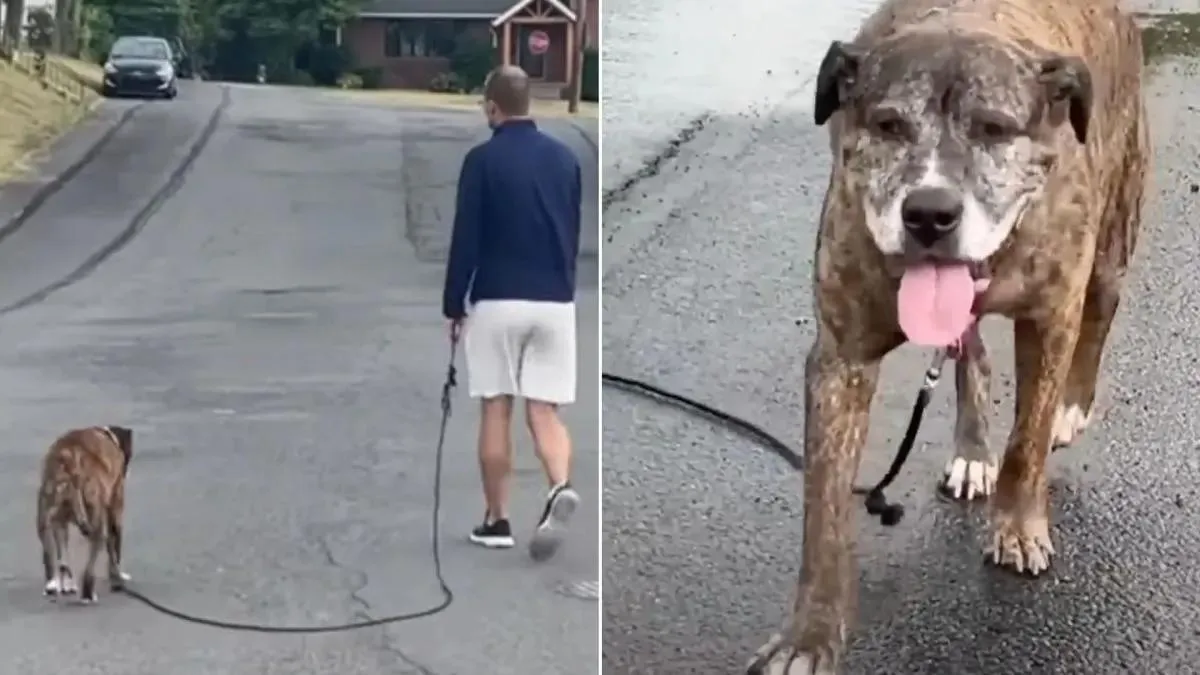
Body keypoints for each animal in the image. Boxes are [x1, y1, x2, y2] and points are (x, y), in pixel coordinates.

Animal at [36, 422, 133, 600]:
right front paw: (117, 577)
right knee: (89, 567)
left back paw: (56, 585)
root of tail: (69, 461)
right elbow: (115, 550)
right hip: (98, 522)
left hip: (47, 519)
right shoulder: (115, 510)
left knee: (55, 559)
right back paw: (87, 594)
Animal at [744, 1, 1147, 672]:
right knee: (971, 352)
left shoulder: (1051, 318)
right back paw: (972, 449)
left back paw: (1071, 408)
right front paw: (811, 635)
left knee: (1100, 311)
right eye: (888, 126)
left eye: (993, 129)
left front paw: (1018, 526)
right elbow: (823, 512)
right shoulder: (840, 359)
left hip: (1116, 230)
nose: (930, 212)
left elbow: (1028, 440)